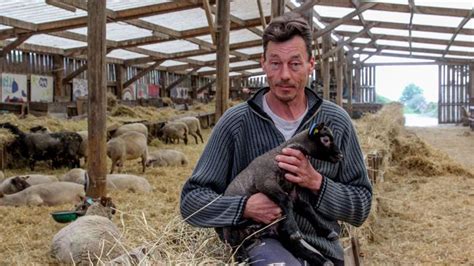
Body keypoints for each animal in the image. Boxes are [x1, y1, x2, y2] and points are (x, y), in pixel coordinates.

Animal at [224, 122, 342, 266]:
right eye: (325, 139)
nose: (340, 155)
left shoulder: (293, 193)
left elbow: (307, 208)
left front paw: (327, 231)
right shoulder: (265, 182)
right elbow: (285, 201)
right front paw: (294, 230)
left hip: (280, 233)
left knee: (299, 249)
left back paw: (324, 261)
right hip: (232, 236)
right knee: (239, 252)